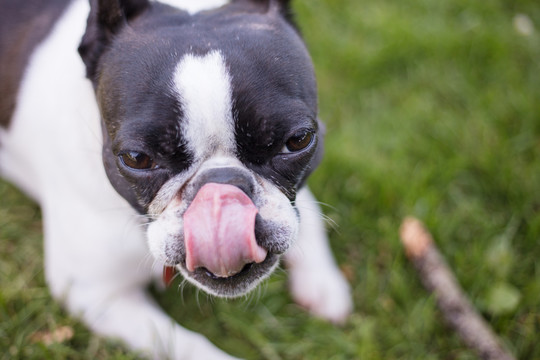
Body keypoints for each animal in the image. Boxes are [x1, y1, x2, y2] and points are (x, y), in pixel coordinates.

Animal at [0, 0, 352, 358]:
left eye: (298, 140)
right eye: (137, 158)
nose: (221, 188)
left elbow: (309, 213)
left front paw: (322, 283)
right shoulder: (96, 294)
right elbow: (185, 345)